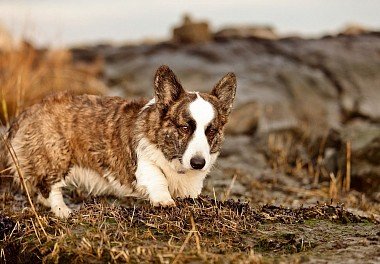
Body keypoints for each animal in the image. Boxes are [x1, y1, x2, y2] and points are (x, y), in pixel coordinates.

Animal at [2, 65, 236, 218]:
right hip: (57, 155)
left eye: (211, 130)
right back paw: (62, 210)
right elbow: (157, 177)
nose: (198, 163)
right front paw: (164, 200)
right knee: (51, 185)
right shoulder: (143, 162)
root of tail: (27, 112)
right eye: (185, 128)